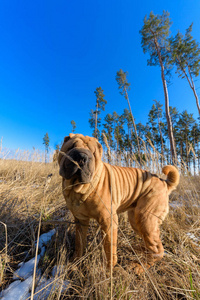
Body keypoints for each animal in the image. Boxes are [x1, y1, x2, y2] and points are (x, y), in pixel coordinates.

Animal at [57, 134, 180, 274]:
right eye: (71, 146)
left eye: (93, 153)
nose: (82, 157)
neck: (76, 188)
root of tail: (164, 182)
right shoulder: (80, 220)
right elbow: (79, 243)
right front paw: (75, 261)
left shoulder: (108, 221)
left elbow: (109, 248)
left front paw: (108, 269)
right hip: (136, 219)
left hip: (146, 219)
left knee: (157, 249)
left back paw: (139, 266)